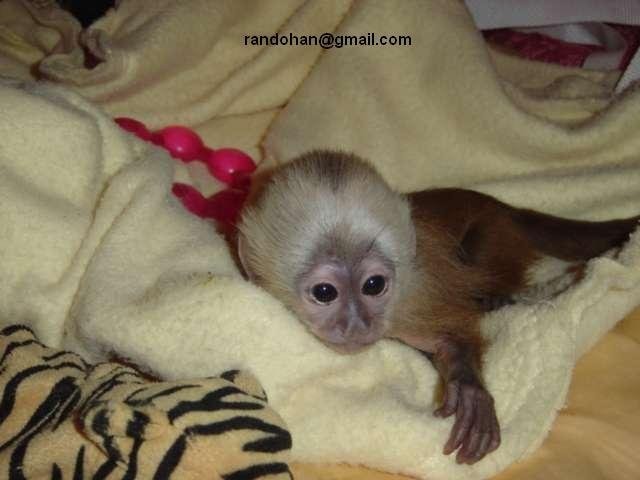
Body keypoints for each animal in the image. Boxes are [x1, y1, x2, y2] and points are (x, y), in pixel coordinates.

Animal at [236, 150, 639, 465]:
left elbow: (450, 337)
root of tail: (500, 205)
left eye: (373, 285)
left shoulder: (411, 299)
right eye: (324, 292)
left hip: (496, 232)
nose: (357, 325)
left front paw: (469, 387)